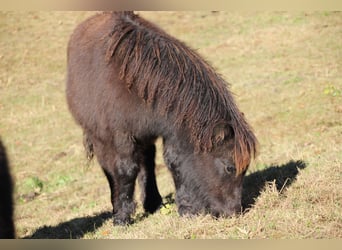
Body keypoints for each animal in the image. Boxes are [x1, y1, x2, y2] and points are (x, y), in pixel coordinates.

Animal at [67, 11, 258, 226]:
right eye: (229, 167)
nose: (233, 212)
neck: (137, 85)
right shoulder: (120, 138)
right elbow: (125, 170)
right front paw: (122, 217)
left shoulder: (171, 133)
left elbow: (174, 163)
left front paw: (187, 210)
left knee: (147, 161)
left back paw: (152, 202)